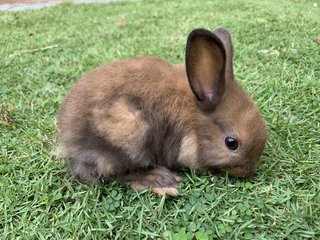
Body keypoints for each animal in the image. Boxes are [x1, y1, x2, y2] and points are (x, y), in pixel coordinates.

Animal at [57, 27, 268, 197]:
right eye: (231, 143)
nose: (248, 171)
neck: (194, 121)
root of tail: (70, 138)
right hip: (128, 130)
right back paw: (160, 180)